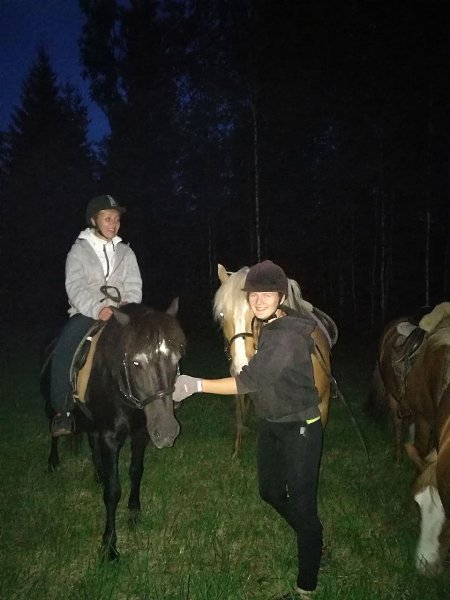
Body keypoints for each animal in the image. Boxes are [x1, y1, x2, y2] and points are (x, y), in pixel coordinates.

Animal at [41, 300, 186, 560]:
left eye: (176, 359)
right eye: (136, 363)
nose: (167, 431)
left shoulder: (140, 434)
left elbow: (136, 472)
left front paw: (134, 513)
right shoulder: (110, 438)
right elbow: (112, 491)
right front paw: (109, 545)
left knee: (91, 440)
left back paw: (98, 472)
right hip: (52, 407)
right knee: (53, 431)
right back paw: (53, 461)